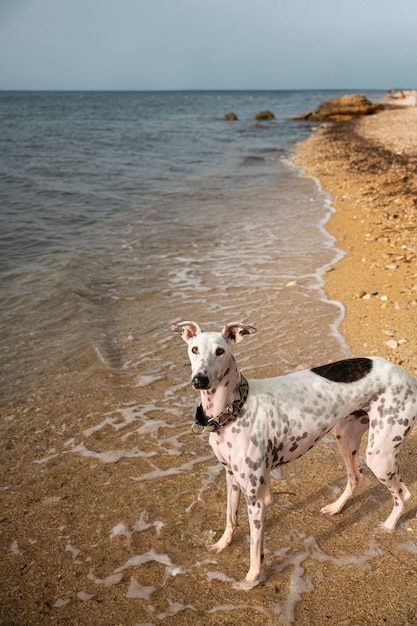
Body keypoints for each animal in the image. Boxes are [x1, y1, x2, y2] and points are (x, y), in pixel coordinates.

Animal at [170, 322, 416, 588]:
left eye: (220, 351)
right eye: (194, 349)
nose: (200, 380)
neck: (235, 408)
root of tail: (408, 376)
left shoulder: (258, 499)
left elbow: (255, 548)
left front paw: (250, 580)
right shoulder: (231, 477)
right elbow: (230, 517)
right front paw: (222, 544)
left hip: (380, 455)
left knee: (402, 493)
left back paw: (388, 526)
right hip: (345, 437)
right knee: (356, 476)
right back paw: (336, 507)